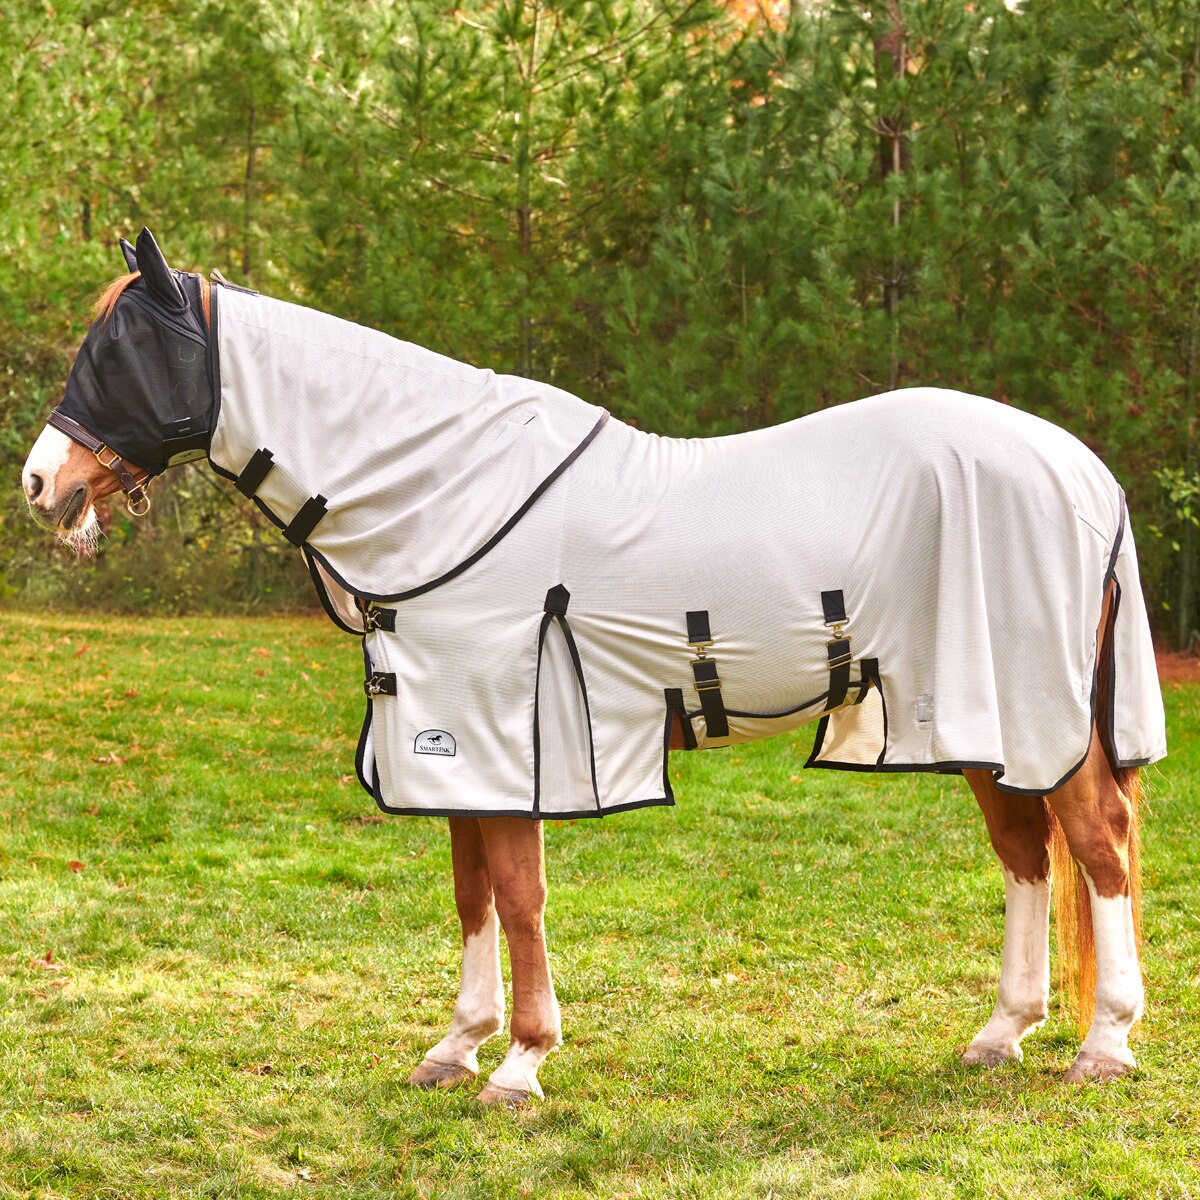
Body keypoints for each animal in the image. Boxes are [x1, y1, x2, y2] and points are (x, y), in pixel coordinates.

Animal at [21, 229, 1166, 1106]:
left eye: (119, 354)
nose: (40, 483)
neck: (444, 493)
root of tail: (1083, 470)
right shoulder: (451, 749)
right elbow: (472, 895)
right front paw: (457, 1045)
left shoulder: (508, 742)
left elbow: (520, 897)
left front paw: (520, 1064)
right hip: (977, 717)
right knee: (1025, 853)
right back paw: (1002, 1033)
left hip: (1040, 717)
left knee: (1098, 845)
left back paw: (1105, 1044)